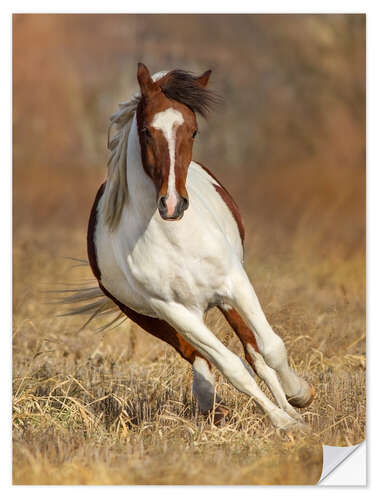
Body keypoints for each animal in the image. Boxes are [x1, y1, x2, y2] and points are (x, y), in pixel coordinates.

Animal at [84, 63, 314, 430]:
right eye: (147, 131)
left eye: (193, 132)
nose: (172, 204)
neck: (175, 237)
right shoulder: (172, 311)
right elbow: (233, 368)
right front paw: (283, 422)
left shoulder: (235, 283)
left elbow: (271, 348)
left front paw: (299, 398)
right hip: (157, 319)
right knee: (206, 359)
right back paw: (213, 402)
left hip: (225, 299)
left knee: (254, 352)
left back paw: (291, 405)